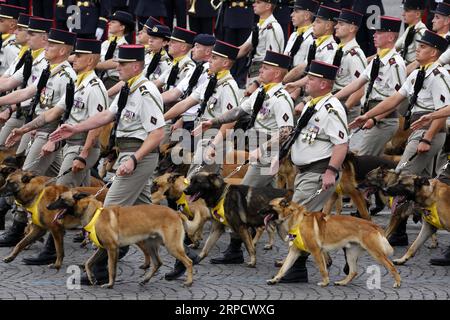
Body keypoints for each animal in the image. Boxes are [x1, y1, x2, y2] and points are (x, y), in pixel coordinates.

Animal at [47, 191, 193, 288]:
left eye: (61, 199)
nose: (47, 206)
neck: (94, 213)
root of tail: (176, 213)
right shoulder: (102, 248)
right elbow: (88, 262)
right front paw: (92, 278)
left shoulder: (112, 248)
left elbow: (112, 268)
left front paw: (110, 284)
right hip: (151, 245)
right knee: (158, 263)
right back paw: (145, 280)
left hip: (171, 245)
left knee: (188, 262)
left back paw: (189, 281)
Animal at [264, 198, 400, 288]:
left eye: (269, 206)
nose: (259, 212)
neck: (296, 219)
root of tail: (373, 225)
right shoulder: (294, 252)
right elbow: (283, 268)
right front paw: (275, 279)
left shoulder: (316, 251)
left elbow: (322, 269)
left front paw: (325, 282)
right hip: (351, 253)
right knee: (353, 271)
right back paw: (342, 282)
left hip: (376, 253)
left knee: (391, 266)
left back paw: (397, 282)